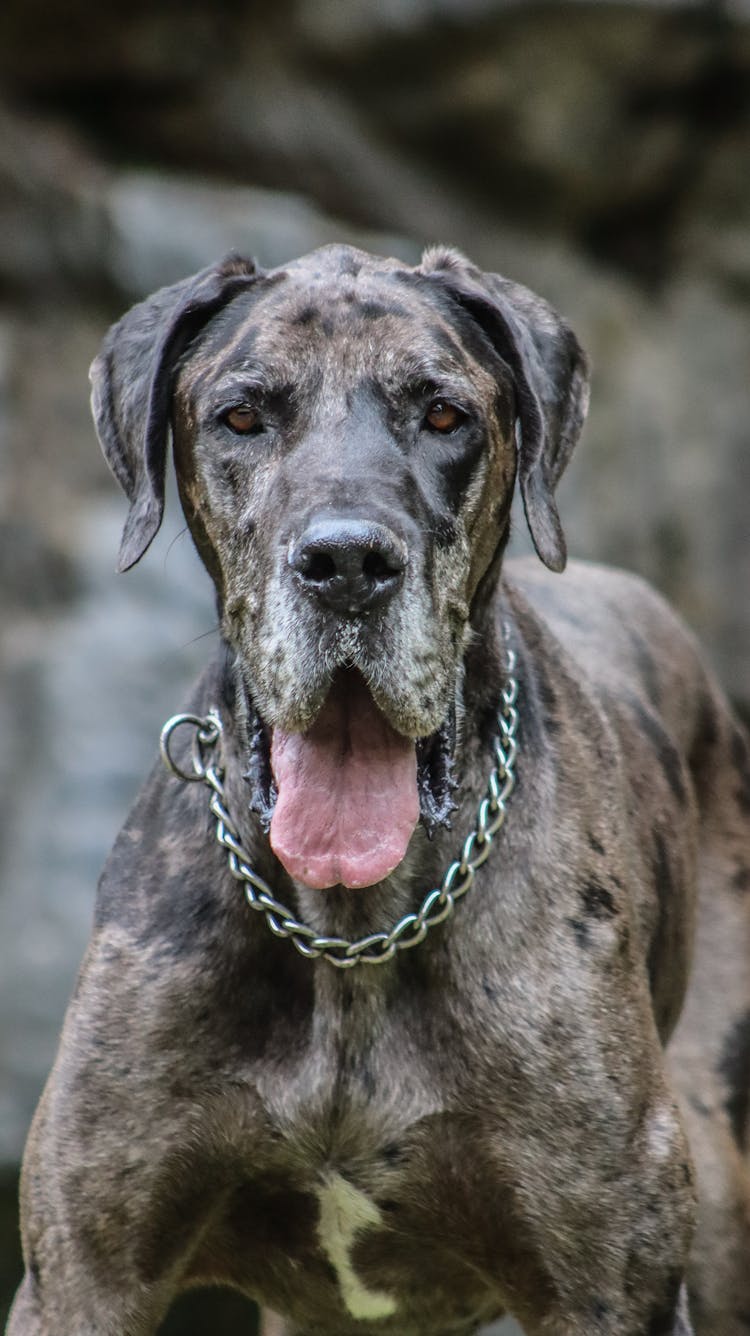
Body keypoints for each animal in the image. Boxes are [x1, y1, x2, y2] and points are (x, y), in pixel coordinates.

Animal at [7, 243, 748, 1336]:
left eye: (444, 415)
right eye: (242, 416)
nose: (348, 561)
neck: (351, 929)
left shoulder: (611, 1289)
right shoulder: (84, 1276)